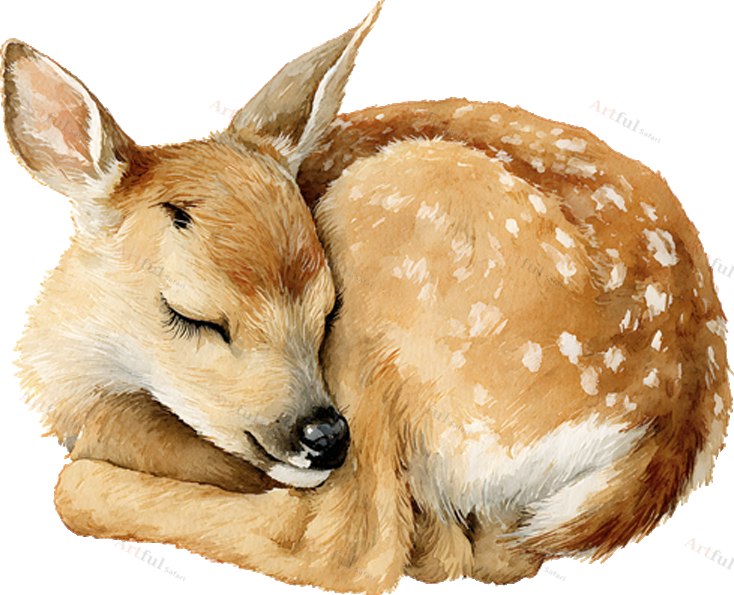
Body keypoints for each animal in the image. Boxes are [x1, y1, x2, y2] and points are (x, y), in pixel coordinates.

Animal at [2, 1, 730, 593]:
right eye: (191, 315)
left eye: (328, 306)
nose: (323, 435)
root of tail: (681, 412)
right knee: (487, 554)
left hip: (396, 230)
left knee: (355, 544)